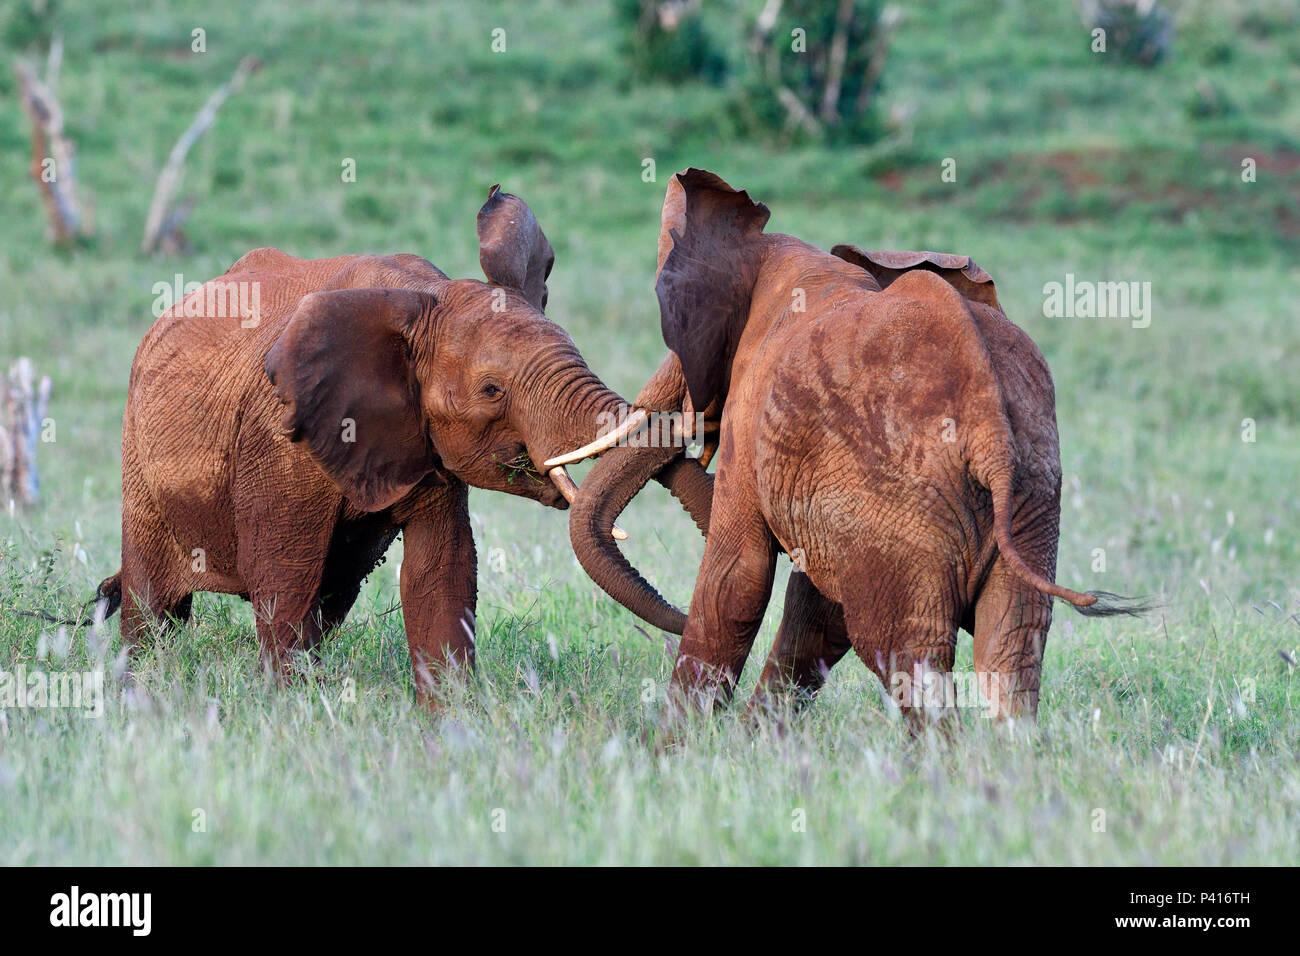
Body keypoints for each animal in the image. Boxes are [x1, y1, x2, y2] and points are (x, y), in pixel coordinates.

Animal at [92, 184, 710, 703]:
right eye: (492, 390)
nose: (685, 619)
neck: (429, 296)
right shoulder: (277, 436)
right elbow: (283, 576)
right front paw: (288, 710)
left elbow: (441, 574)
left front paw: (449, 721)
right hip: (138, 453)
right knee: (153, 602)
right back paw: (138, 683)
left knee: (332, 595)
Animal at [554, 168, 1142, 722]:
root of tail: (991, 430)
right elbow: (816, 607)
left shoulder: (756, 413)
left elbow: (736, 580)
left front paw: (680, 747)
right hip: (1028, 494)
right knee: (1011, 648)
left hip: (910, 502)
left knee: (907, 654)